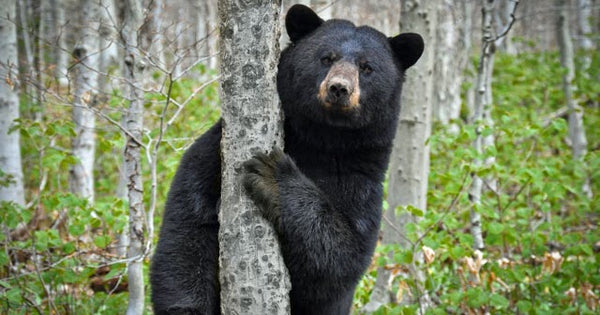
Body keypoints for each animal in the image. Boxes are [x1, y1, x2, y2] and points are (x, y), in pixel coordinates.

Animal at [150, 3, 422, 314]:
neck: (322, 139)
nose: (339, 88)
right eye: (326, 58)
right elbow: (187, 227)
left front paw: (274, 175)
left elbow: (340, 259)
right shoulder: (213, 154)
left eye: (367, 67)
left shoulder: (362, 181)